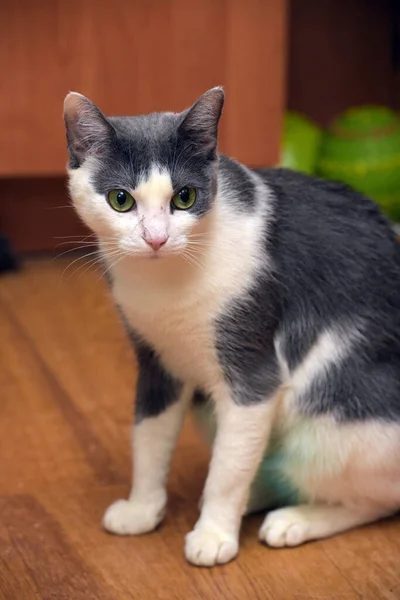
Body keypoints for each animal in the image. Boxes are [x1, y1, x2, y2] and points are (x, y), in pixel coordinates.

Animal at [63, 86, 400, 564]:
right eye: (120, 199)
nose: (156, 238)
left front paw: (214, 534)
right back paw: (257, 496)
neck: (166, 284)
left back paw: (295, 519)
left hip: (339, 422)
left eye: (185, 197)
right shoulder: (156, 363)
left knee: (374, 499)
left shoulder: (253, 374)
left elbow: (228, 469)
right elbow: (149, 439)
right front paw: (142, 508)